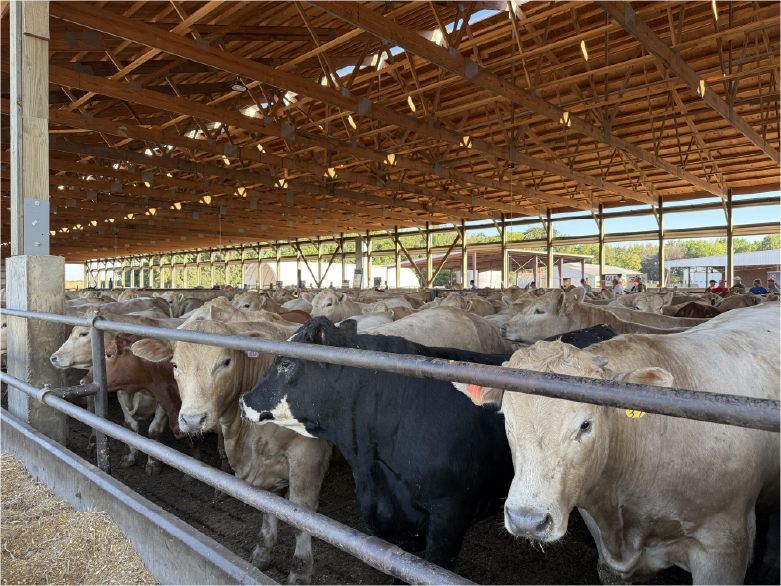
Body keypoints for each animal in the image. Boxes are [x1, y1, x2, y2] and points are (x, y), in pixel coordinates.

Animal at [132, 320, 332, 586]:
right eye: (175, 365)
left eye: (226, 362)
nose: (193, 420)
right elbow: (269, 506)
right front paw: (262, 553)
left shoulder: (307, 456)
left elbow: (303, 516)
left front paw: (300, 572)